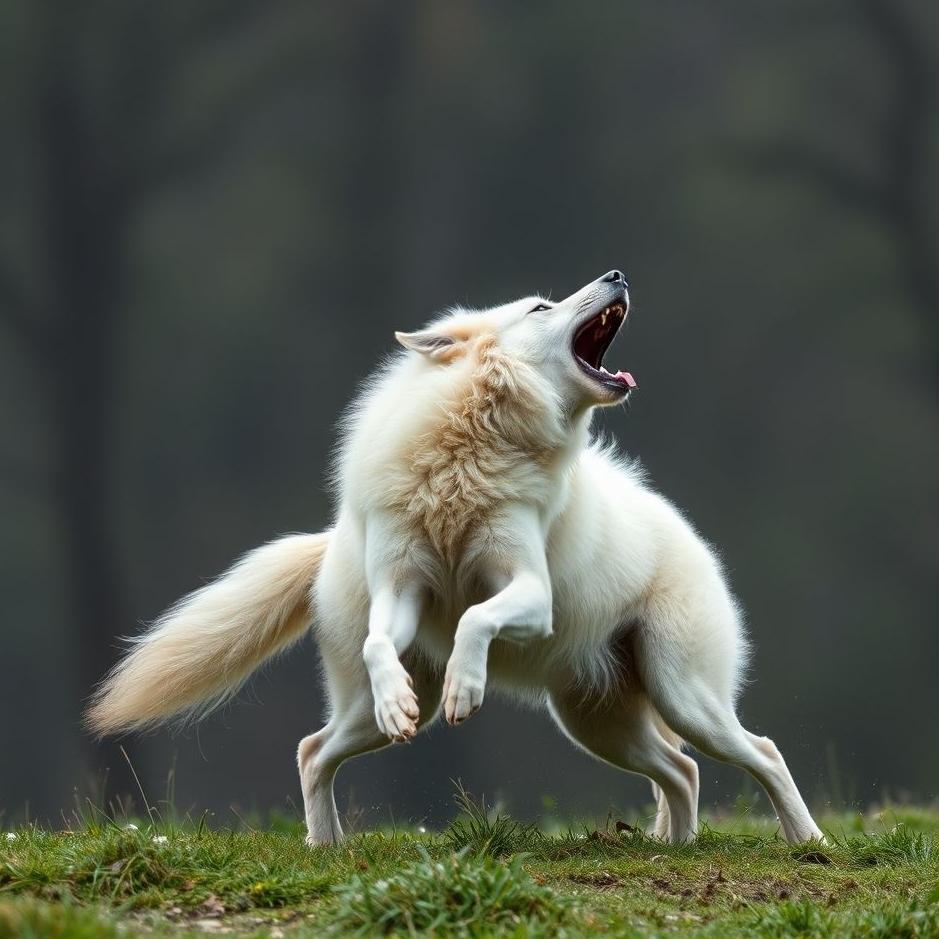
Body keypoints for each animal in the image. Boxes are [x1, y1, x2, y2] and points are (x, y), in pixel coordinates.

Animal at [87, 270, 824, 846]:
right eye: (540, 306)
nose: (617, 274)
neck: (466, 453)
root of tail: (688, 533)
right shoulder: (401, 594)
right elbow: (382, 644)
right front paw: (405, 702)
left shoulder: (528, 592)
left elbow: (476, 617)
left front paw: (469, 688)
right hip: (578, 721)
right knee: (313, 750)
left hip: (677, 699)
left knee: (752, 754)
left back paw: (803, 842)